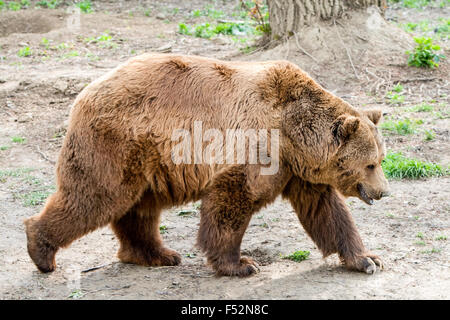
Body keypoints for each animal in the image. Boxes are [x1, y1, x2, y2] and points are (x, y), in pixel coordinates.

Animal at [24, 53, 390, 276]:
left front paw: (367, 259)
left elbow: (326, 210)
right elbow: (232, 200)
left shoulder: (298, 169)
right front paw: (241, 263)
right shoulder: (257, 144)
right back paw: (40, 249)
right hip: (117, 142)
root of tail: (85, 93)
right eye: (371, 164)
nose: (384, 191)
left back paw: (157, 254)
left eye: (380, 159)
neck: (294, 132)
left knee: (138, 209)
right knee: (94, 198)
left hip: (149, 161)